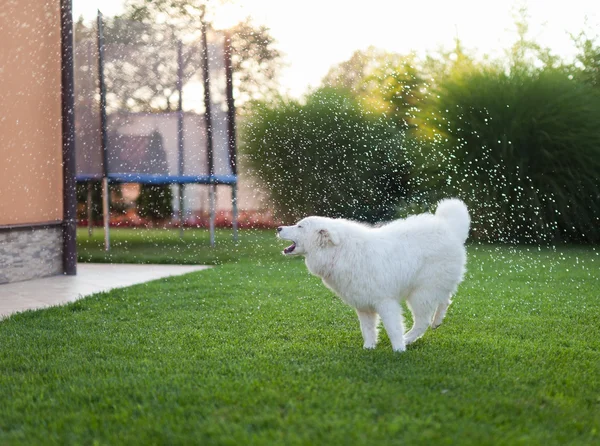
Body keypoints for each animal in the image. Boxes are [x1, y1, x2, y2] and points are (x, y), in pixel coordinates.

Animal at [276, 199, 468, 352]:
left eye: (300, 226)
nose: (278, 227)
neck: (341, 251)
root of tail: (450, 228)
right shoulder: (363, 306)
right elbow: (367, 329)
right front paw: (369, 347)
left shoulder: (385, 302)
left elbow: (393, 328)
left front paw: (398, 350)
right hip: (433, 288)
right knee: (445, 300)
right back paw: (437, 322)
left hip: (421, 294)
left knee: (422, 322)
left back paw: (408, 339)